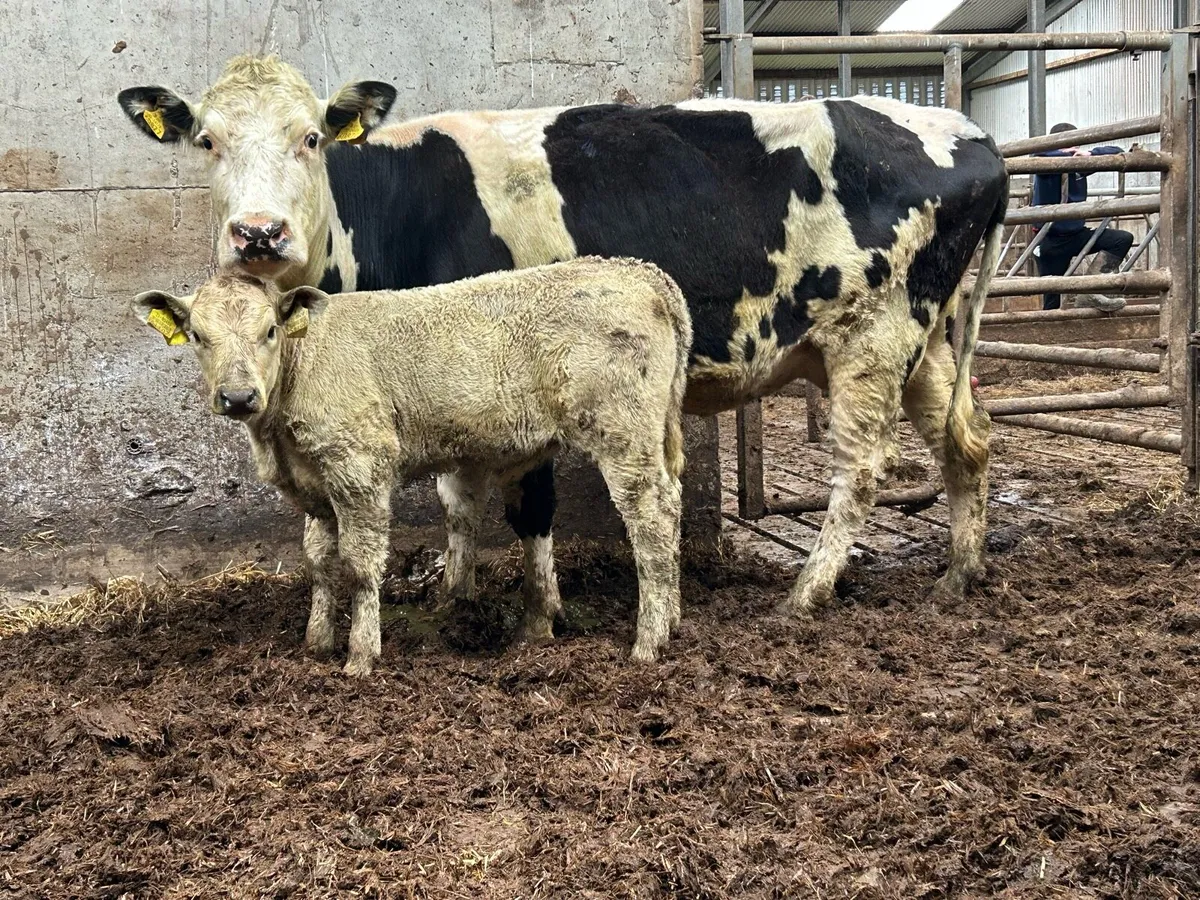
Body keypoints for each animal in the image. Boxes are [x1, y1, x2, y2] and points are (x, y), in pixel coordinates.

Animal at [118, 54, 1007, 627]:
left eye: (312, 138)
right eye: (206, 140)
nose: (258, 233)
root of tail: (968, 130)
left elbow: (529, 503)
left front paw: (541, 612)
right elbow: (458, 497)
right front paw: (456, 593)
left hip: (872, 338)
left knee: (862, 467)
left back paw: (807, 594)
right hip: (925, 345)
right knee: (967, 443)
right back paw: (959, 574)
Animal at [131, 258, 691, 674]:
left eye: (270, 330)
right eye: (197, 336)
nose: (238, 396)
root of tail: (640, 272)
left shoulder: (358, 465)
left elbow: (359, 564)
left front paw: (360, 655)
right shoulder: (315, 484)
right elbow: (318, 562)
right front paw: (316, 643)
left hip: (623, 433)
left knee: (651, 521)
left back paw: (648, 640)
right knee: (672, 506)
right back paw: (673, 620)